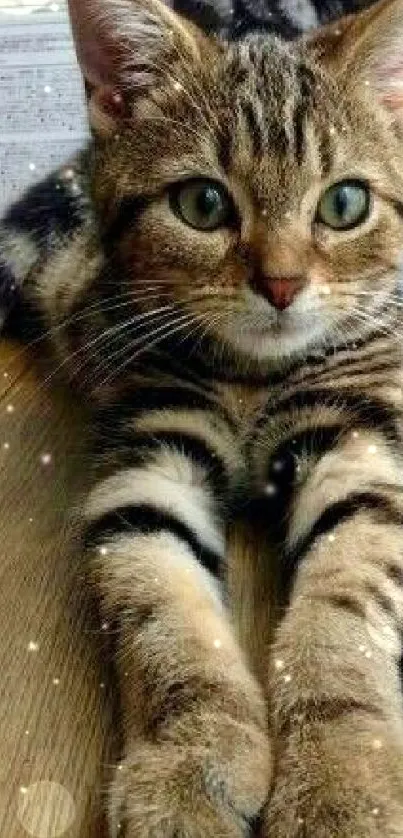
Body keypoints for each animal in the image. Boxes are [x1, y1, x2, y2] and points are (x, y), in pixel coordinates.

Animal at [2, 0, 403, 836]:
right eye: (202, 204)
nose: (281, 284)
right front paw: (190, 759)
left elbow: (342, 614)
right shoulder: (148, 455)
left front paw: (343, 778)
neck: (253, 374)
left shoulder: (361, 447)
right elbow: (158, 609)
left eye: (343, 204)